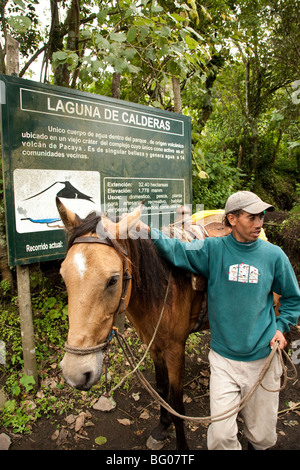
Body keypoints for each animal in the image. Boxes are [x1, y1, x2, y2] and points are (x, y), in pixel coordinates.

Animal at [57, 197, 209, 448]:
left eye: (113, 280)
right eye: (63, 276)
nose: (75, 373)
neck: (163, 287)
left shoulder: (175, 349)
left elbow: (177, 405)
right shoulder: (154, 345)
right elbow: (162, 389)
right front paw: (161, 428)